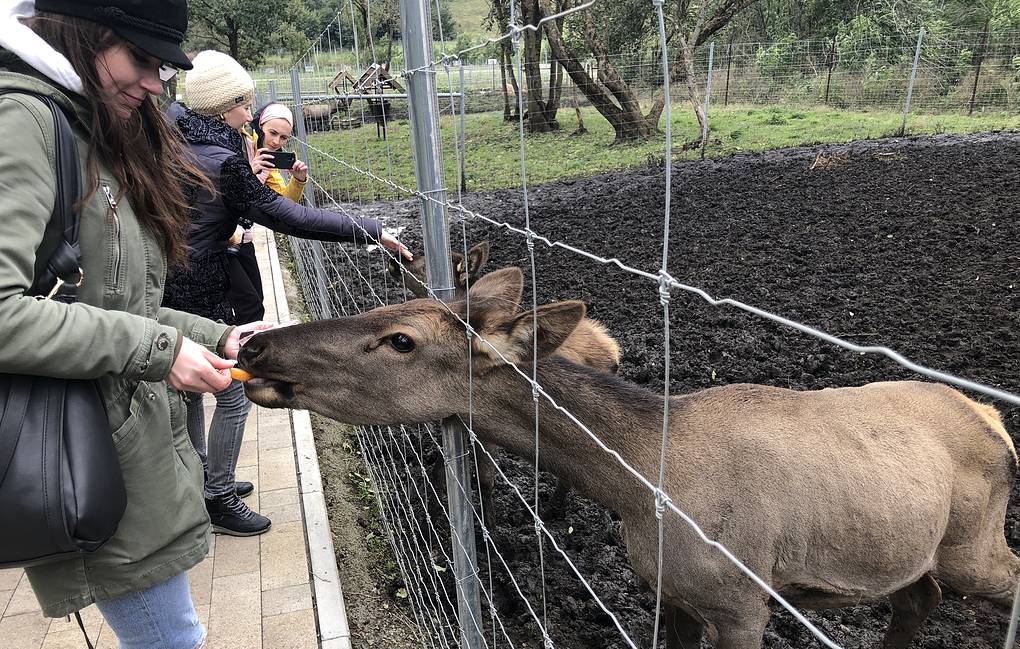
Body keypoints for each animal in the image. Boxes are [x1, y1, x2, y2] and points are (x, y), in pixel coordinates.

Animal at [238, 265, 1020, 644]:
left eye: (400, 339)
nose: (256, 345)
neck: (638, 483)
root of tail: (996, 422)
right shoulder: (674, 590)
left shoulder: (743, 598)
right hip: (913, 550)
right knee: (920, 596)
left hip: (974, 540)